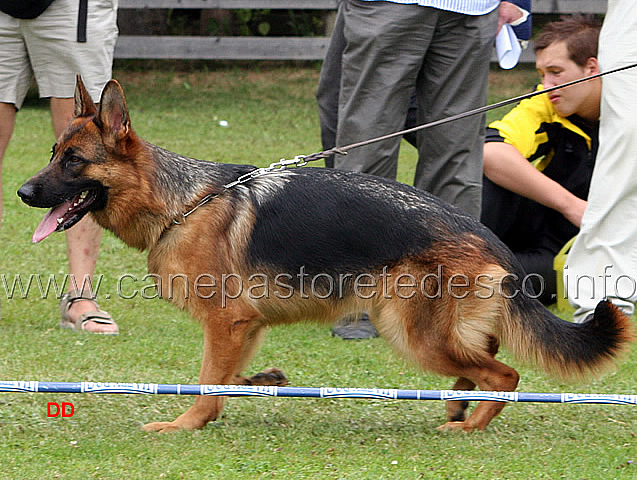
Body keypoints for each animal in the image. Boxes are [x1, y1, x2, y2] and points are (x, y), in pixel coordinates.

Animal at [18, 78, 632, 432]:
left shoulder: (226, 323)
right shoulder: (244, 328)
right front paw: (244, 394)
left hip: (413, 333)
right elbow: (225, 379)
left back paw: (469, 425)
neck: (183, 203)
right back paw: (458, 405)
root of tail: (484, 233)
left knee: (505, 373)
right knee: (484, 358)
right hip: (429, 332)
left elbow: (209, 380)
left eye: (74, 161)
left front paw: (187, 423)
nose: (21, 192)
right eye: (52, 152)